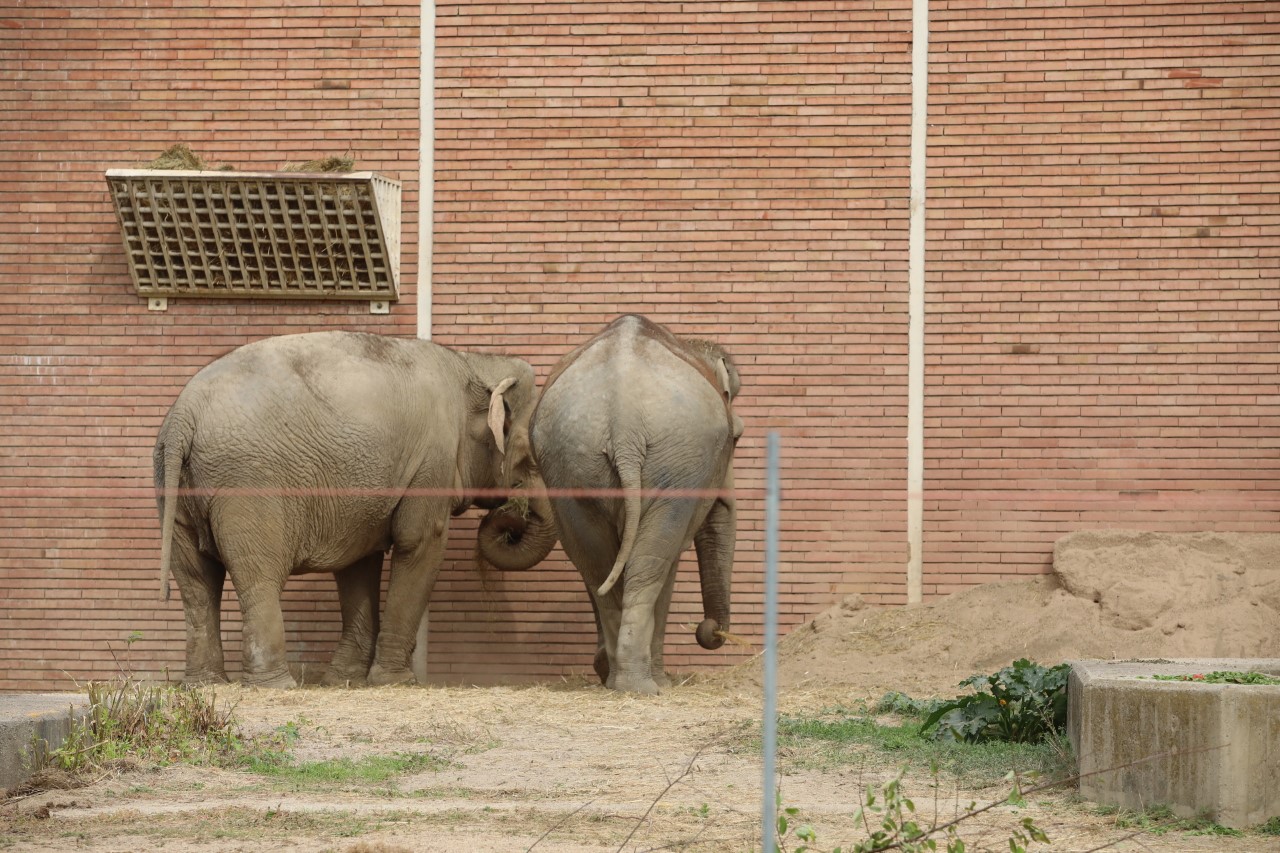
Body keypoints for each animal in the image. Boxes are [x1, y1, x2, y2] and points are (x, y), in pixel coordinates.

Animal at [149, 327, 555, 686]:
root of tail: (183, 416)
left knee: (196, 582)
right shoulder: (431, 462)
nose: (510, 514)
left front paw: (343, 680)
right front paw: (396, 681)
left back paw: (204, 684)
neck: (475, 361)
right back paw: (274, 685)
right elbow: (420, 543)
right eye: (533, 458)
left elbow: (359, 562)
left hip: (173, 488)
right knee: (257, 576)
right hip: (248, 484)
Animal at [527, 315, 742, 696]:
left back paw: (619, 680)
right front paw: (662, 680)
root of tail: (624, 418)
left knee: (597, 561)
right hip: (676, 462)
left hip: (572, 461)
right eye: (736, 440)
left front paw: (602, 667)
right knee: (653, 562)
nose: (709, 630)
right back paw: (643, 685)